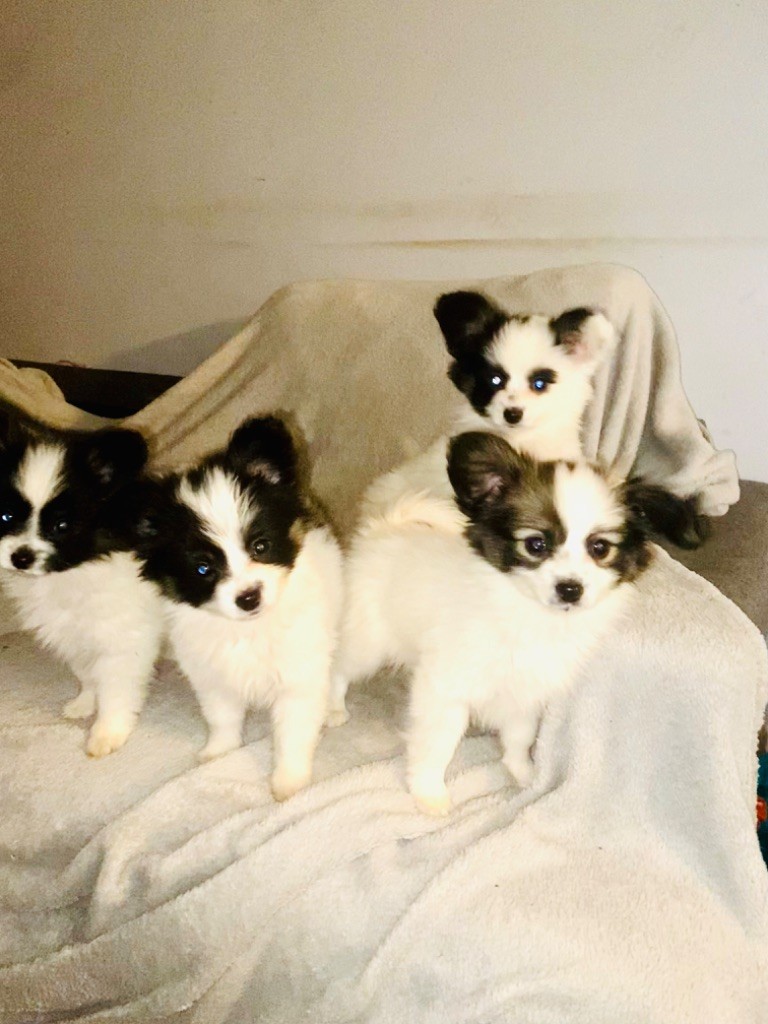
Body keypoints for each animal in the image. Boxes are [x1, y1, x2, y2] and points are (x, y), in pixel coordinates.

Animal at [0, 406, 163, 756]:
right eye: (5, 517)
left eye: (61, 526)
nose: (21, 557)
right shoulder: (75, 634)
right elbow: (88, 675)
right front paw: (84, 704)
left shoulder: (123, 639)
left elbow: (115, 689)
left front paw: (107, 733)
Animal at [135, 415, 343, 801]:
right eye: (203, 569)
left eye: (261, 546)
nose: (249, 597)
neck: (247, 628)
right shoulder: (212, 674)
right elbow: (222, 717)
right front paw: (220, 752)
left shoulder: (298, 674)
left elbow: (293, 733)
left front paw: (289, 783)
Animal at [330, 431, 702, 815]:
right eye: (535, 545)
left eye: (600, 548)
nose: (570, 588)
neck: (531, 616)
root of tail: (383, 529)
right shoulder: (445, 688)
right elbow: (437, 744)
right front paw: (429, 793)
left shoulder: (526, 692)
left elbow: (520, 737)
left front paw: (523, 774)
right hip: (369, 642)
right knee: (339, 666)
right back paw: (333, 708)